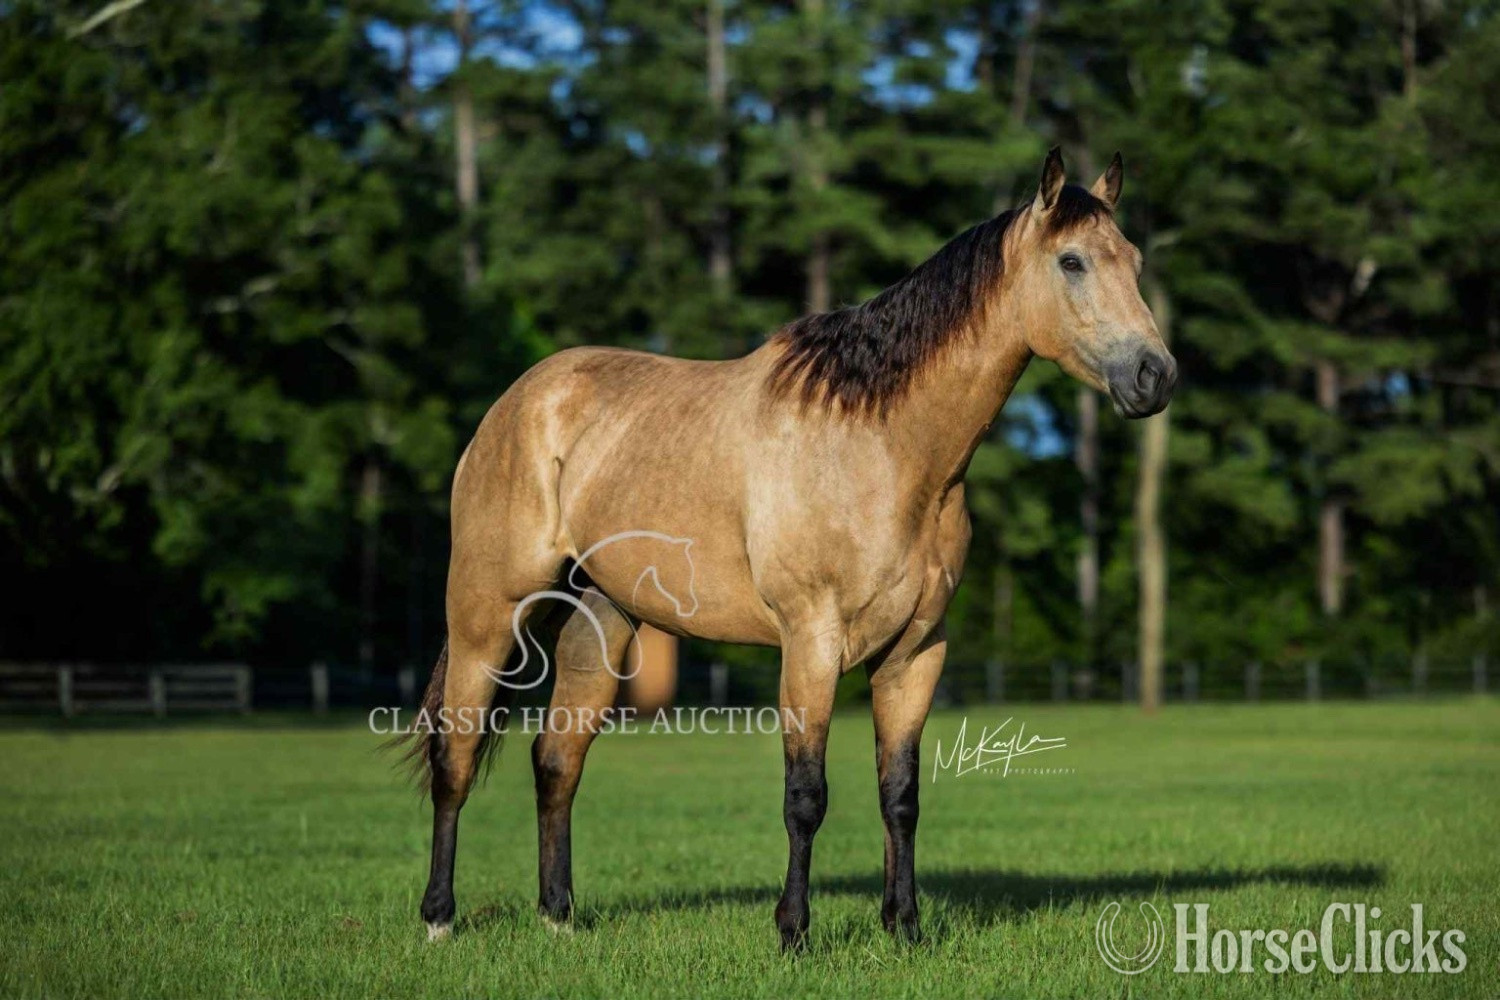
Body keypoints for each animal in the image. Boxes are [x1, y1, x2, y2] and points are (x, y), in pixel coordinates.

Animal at [403, 147, 1177, 950]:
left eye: (1134, 260)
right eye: (1072, 260)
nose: (1156, 376)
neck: (883, 445)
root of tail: (516, 405)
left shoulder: (916, 651)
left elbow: (900, 794)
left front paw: (905, 928)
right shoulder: (811, 642)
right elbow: (806, 795)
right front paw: (794, 933)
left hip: (601, 623)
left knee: (557, 761)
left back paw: (557, 917)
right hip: (487, 616)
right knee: (455, 757)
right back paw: (439, 919)